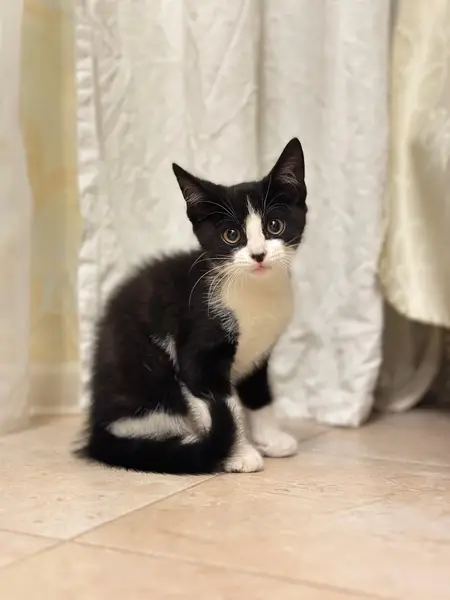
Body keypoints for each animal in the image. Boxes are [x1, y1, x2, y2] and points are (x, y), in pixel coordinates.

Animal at [77, 137, 307, 474]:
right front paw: (238, 454)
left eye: (274, 226)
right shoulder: (196, 351)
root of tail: (96, 430)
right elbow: (221, 404)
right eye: (231, 235)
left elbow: (258, 394)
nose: (258, 255)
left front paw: (270, 439)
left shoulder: (260, 353)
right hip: (148, 376)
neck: (253, 293)